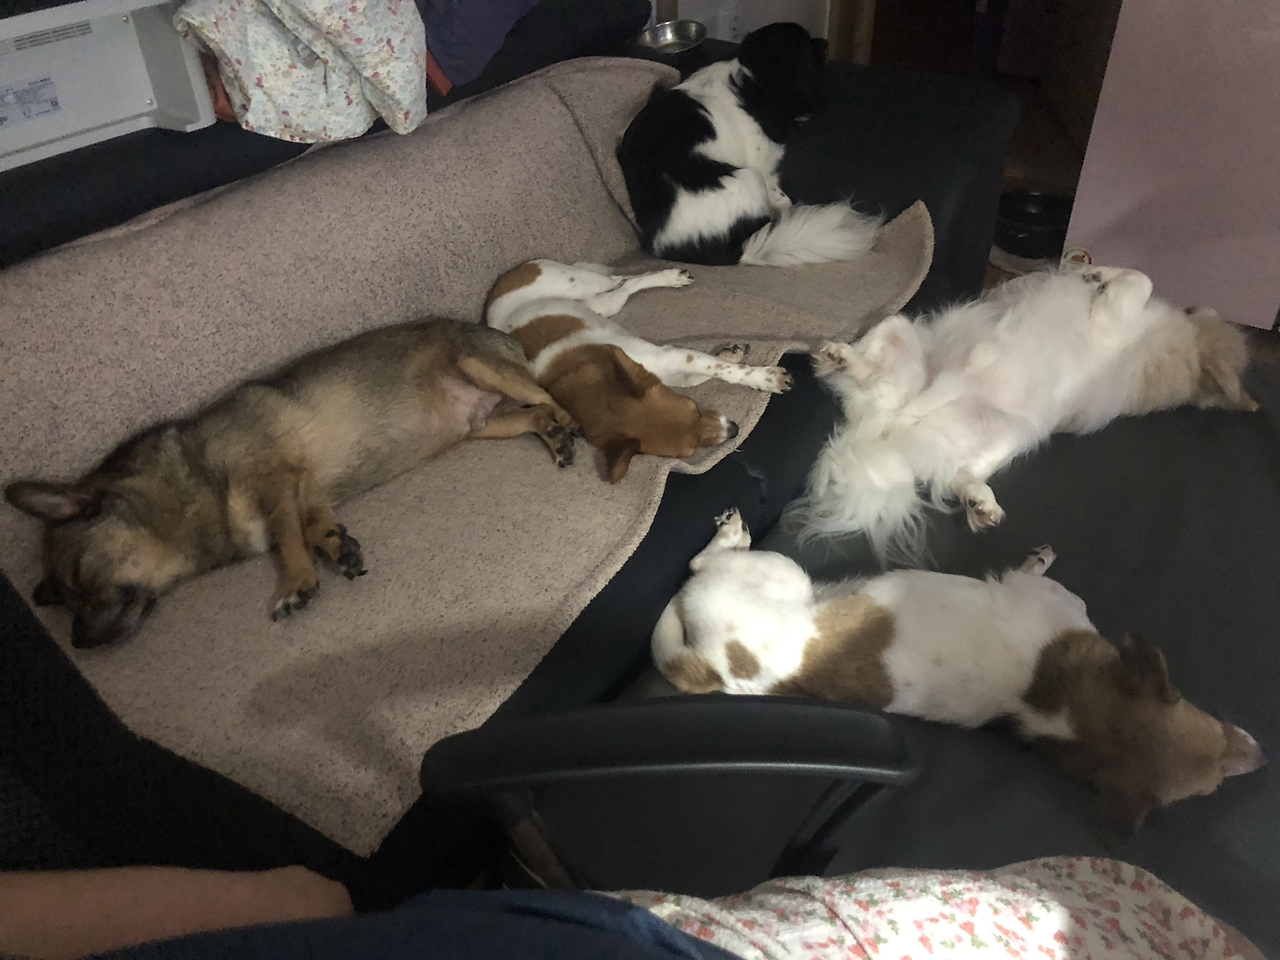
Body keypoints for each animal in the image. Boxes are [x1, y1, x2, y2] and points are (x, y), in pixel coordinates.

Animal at [5, 320, 578, 647]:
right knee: (532, 415)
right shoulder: (308, 488)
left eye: (78, 577)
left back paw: (568, 426)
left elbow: (284, 535)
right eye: (63, 601)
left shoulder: (275, 478)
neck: (196, 482)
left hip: (480, 365)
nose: (77, 643)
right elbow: (311, 524)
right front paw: (335, 547)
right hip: (484, 426)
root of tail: (499, 335)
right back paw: (553, 436)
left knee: (551, 397)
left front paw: (296, 582)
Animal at [485, 259, 792, 482]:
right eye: (689, 450)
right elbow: (711, 368)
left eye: (695, 409)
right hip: (603, 305)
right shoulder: (672, 365)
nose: (735, 430)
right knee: (623, 287)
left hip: (581, 284)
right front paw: (736, 358)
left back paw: (669, 276)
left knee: (621, 279)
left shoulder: (669, 357)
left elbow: (721, 369)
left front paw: (765, 377)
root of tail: (495, 294)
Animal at [616, 22, 881, 266]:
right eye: (807, 45)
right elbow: (779, 196)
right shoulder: (765, 166)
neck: (752, 78)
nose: (825, 42)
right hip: (749, 178)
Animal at [653, 509, 1266, 841]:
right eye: (1205, 719)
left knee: (700, 566)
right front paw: (1037, 558)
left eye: (1212, 782)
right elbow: (1038, 575)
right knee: (698, 564)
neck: (1069, 712)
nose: (1262, 758)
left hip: (780, 576)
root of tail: (704, 664)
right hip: (780, 574)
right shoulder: (1056, 602)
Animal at [792, 266, 1258, 562]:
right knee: (876, 376)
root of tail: (887, 432)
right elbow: (1133, 276)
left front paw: (1100, 276)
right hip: (899, 329)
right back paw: (842, 359)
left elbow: (1141, 281)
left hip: (1012, 436)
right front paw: (1095, 273)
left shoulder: (1117, 318)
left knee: (955, 473)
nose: (1193, 306)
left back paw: (979, 502)